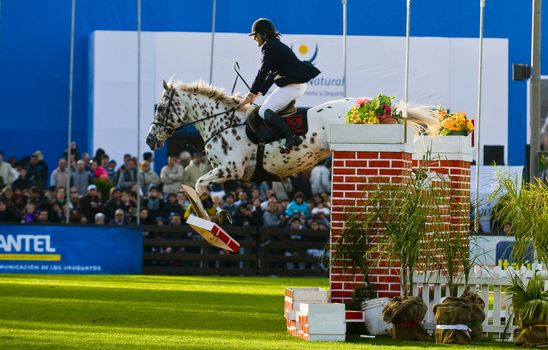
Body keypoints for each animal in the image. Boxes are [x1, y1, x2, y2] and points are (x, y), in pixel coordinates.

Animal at [147, 79, 440, 221]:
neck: (222, 122)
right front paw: (216, 213)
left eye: (160, 108)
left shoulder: (231, 169)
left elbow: (198, 184)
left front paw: (215, 214)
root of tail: (377, 107)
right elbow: (200, 186)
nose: (150, 140)